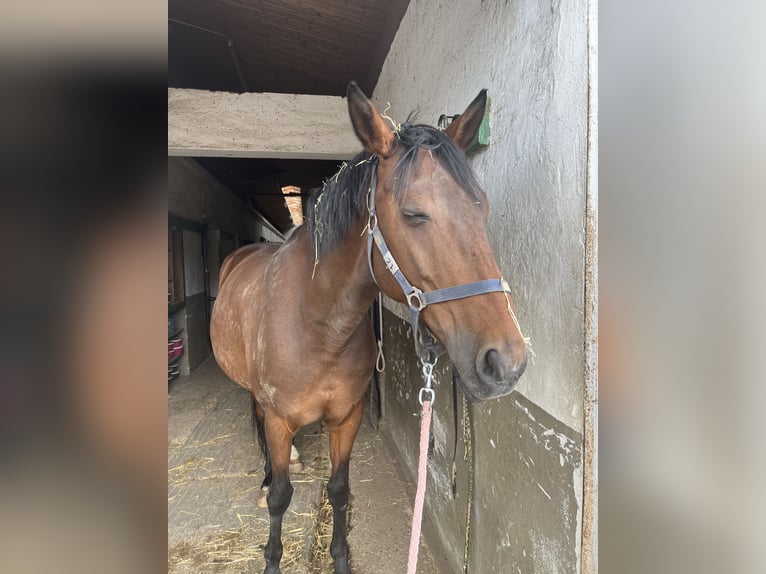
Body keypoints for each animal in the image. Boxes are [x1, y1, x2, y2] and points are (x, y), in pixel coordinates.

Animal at [210, 82, 528, 574]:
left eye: (483, 209)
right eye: (414, 214)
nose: (506, 362)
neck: (316, 324)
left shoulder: (348, 416)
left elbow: (340, 491)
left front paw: (340, 559)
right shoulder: (282, 421)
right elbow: (282, 496)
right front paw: (272, 558)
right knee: (259, 425)